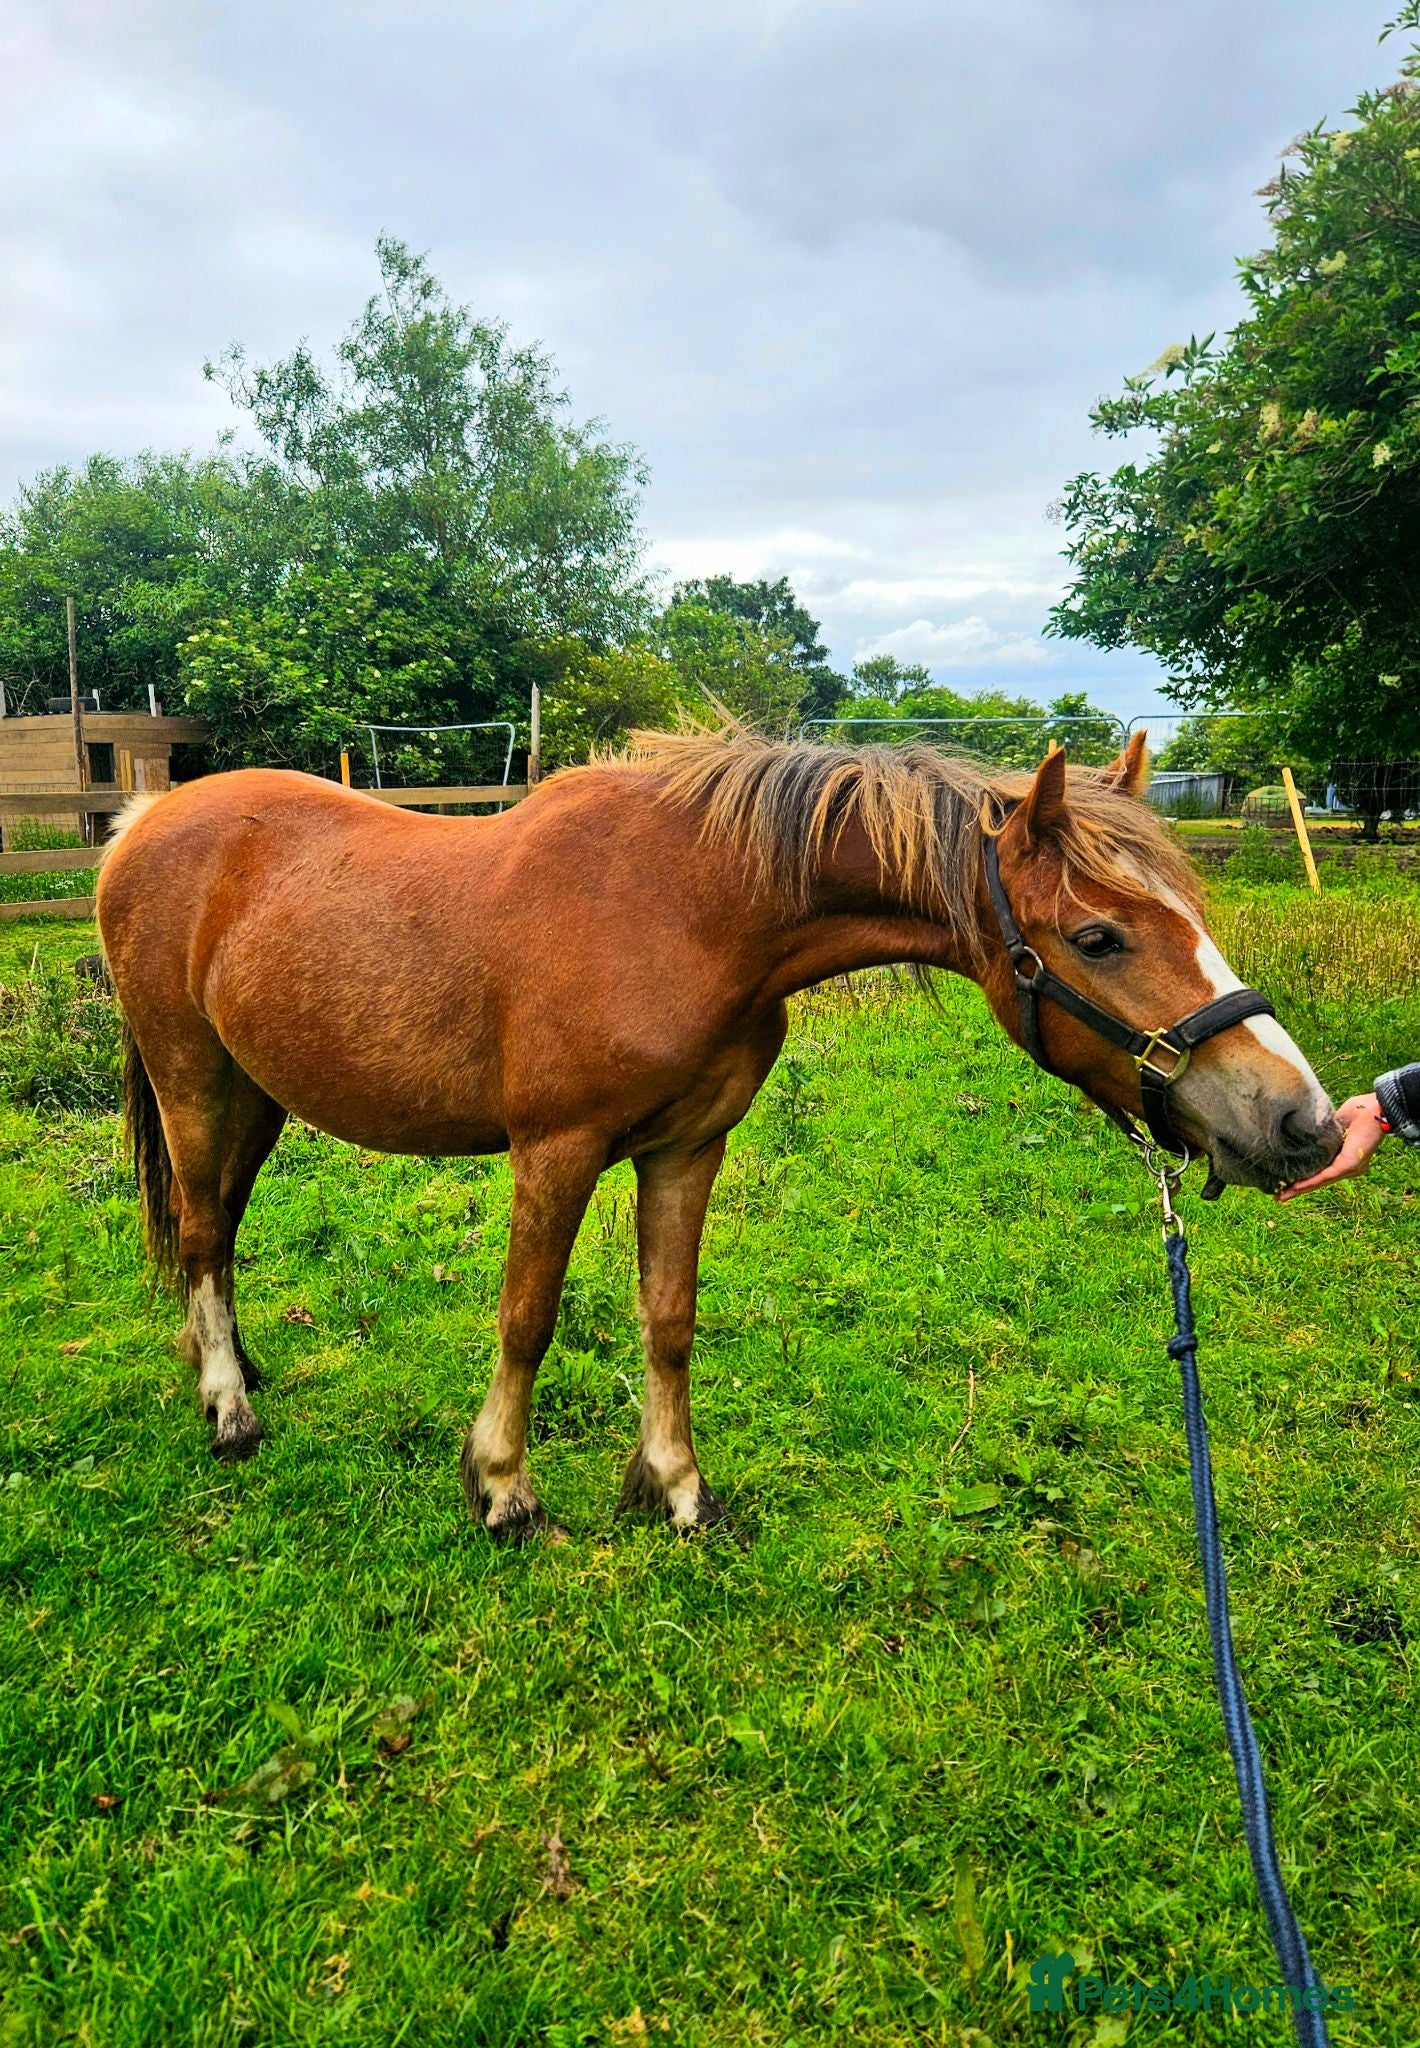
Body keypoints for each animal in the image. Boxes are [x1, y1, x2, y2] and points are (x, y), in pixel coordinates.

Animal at [95, 728, 1340, 1536]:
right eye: (1096, 936)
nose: (1301, 1120)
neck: (689, 907)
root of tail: (146, 820)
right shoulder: (555, 1149)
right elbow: (527, 1318)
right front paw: (502, 1486)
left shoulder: (686, 1148)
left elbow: (670, 1319)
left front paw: (678, 1489)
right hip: (192, 1077)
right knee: (201, 1232)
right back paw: (231, 1407)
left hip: (255, 1093)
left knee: (221, 1233)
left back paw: (231, 1365)